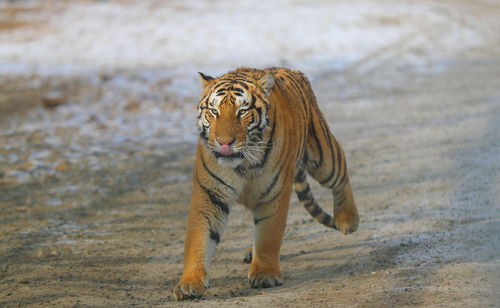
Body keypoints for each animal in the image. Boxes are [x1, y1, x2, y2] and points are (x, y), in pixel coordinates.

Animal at [174, 67, 358, 300]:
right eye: (214, 112)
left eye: (242, 112)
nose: (224, 143)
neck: (242, 164)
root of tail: (290, 70)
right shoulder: (210, 194)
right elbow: (198, 239)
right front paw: (189, 284)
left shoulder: (274, 193)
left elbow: (269, 234)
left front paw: (265, 274)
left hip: (324, 158)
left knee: (341, 174)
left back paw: (348, 220)